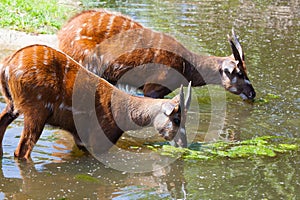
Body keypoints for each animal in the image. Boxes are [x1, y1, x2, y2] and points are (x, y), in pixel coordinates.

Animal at [0, 44, 191, 160]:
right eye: (176, 119)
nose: (184, 144)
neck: (124, 115)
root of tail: (7, 65)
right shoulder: (99, 140)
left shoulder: (80, 139)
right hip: (36, 111)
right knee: (21, 150)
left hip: (12, 104)